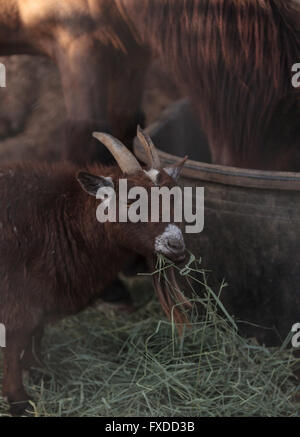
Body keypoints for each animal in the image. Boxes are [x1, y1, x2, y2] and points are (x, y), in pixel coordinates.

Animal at [0, 127, 188, 414]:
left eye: (174, 196)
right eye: (131, 200)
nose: (176, 246)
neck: (60, 218)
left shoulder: (41, 297)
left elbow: (36, 336)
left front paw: (41, 373)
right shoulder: (18, 300)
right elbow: (14, 346)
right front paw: (19, 401)